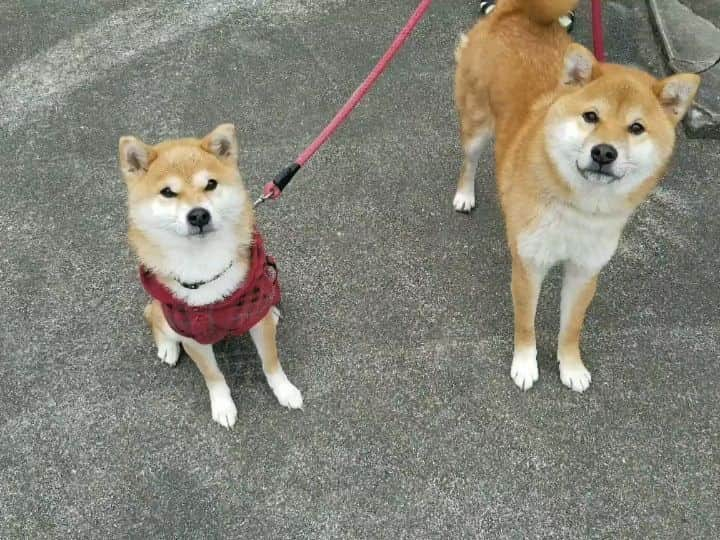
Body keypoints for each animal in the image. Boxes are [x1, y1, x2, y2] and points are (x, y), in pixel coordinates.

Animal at [120, 125, 304, 426]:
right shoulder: (191, 333)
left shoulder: (255, 313)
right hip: (165, 315)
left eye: (210, 184)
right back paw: (168, 347)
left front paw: (285, 390)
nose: (198, 215)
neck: (203, 261)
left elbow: (271, 362)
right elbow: (213, 375)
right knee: (151, 314)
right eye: (167, 192)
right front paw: (223, 405)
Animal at [452, 0, 700, 390]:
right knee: (470, 160)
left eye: (636, 128)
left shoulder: (585, 270)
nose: (604, 152)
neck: (580, 206)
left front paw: (571, 367)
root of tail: (514, 12)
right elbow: (526, 323)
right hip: (476, 123)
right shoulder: (530, 265)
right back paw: (464, 194)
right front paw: (525, 365)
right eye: (591, 116)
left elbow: (571, 327)